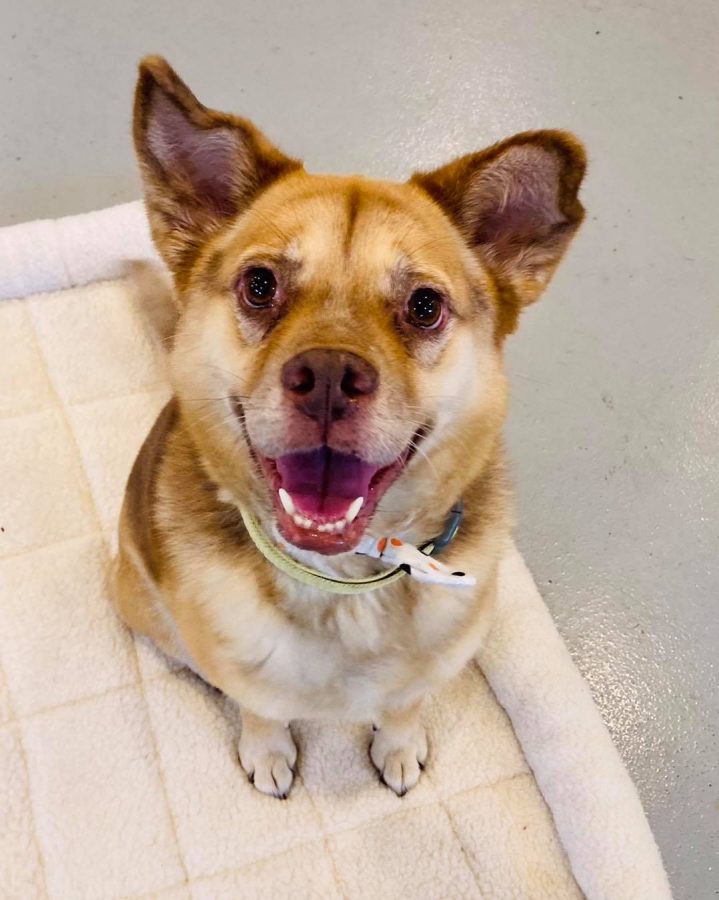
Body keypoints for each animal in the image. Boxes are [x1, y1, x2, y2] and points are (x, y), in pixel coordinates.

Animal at [111, 56, 584, 800]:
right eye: (260, 285)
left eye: (424, 305)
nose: (330, 377)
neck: (345, 580)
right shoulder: (248, 676)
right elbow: (261, 710)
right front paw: (268, 753)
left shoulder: (427, 669)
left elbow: (404, 703)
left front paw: (399, 746)